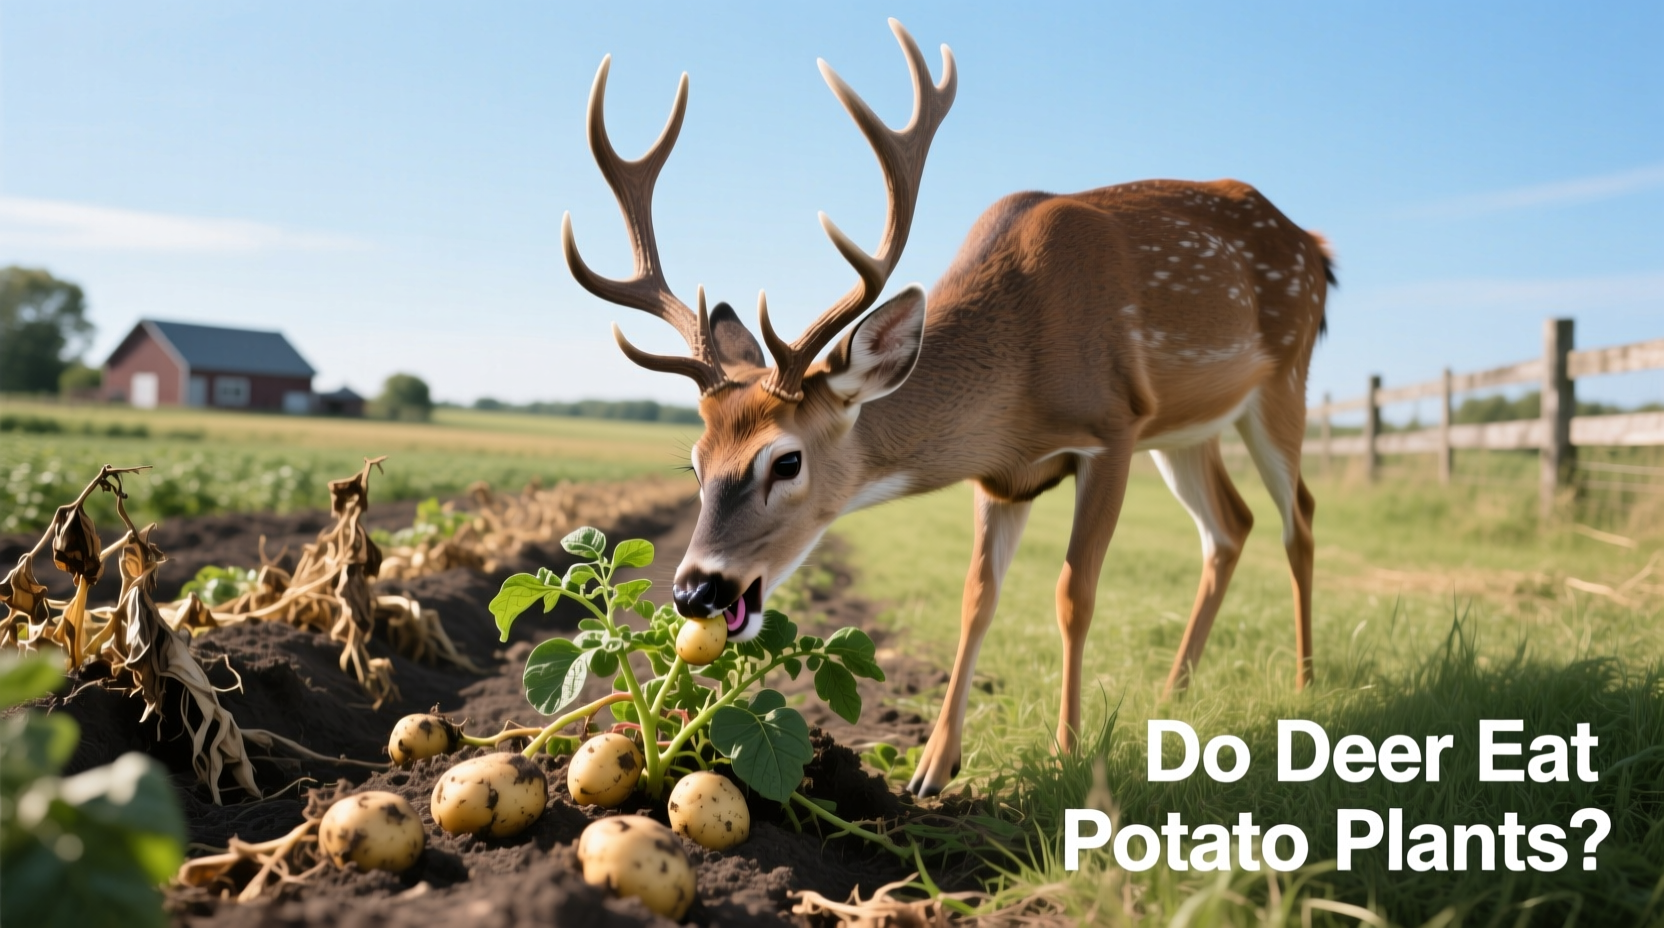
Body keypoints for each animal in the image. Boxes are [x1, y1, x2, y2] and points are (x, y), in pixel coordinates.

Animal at [562, 19, 1333, 797]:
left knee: (1298, 514)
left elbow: (1074, 593)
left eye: (786, 460)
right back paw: (1174, 692)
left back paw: (1305, 687)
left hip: (1283, 378)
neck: (1021, 369)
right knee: (1230, 525)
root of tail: (1317, 246)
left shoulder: (1113, 426)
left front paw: (1068, 755)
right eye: (694, 465)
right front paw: (933, 768)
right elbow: (976, 597)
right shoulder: (1002, 474)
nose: (695, 591)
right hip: (1185, 431)